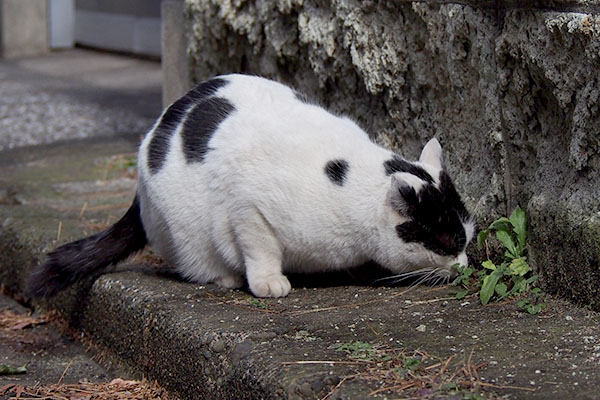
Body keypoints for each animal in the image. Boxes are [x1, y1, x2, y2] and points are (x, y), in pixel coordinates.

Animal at [29, 73, 474, 296]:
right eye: (450, 242)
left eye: (468, 237)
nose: (466, 266)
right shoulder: (247, 206)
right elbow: (260, 247)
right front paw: (267, 282)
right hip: (182, 229)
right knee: (196, 261)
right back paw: (225, 277)